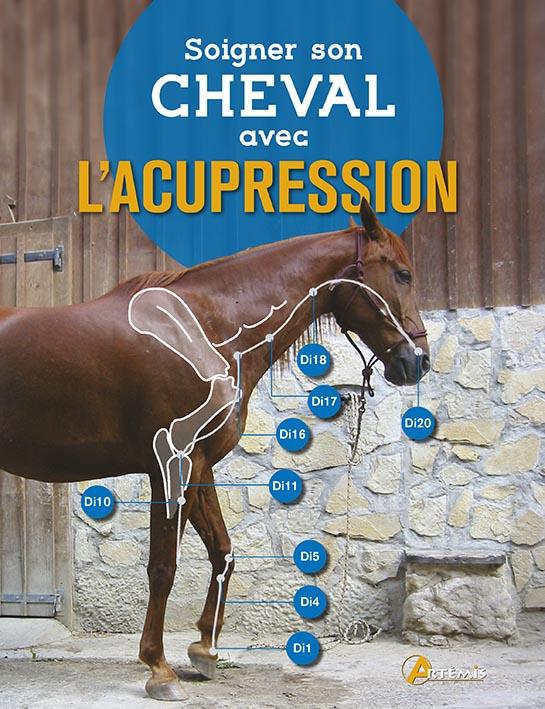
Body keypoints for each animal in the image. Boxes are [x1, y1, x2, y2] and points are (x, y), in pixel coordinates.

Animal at [0, 198, 429, 701]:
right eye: (402, 274)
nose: (418, 362)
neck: (201, 332)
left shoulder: (200, 467)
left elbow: (222, 551)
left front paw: (204, 649)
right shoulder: (171, 466)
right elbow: (163, 567)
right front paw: (159, 669)